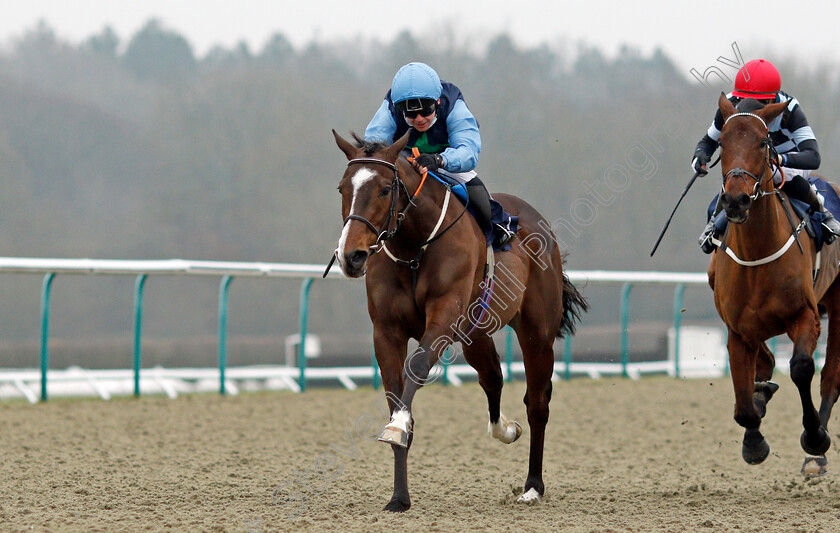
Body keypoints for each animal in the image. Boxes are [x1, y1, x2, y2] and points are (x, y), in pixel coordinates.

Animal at [332, 130, 588, 512]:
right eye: (342, 189)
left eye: (384, 189)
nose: (351, 256)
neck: (414, 248)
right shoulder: (387, 332)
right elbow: (396, 393)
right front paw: (399, 497)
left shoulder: (441, 320)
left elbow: (416, 367)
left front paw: (397, 426)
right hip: (476, 334)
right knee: (492, 378)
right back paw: (505, 430)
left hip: (536, 333)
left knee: (537, 403)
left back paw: (532, 486)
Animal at [708, 91, 840, 474]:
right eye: (722, 142)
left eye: (763, 142)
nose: (735, 200)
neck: (758, 253)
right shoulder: (738, 329)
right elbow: (743, 400)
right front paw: (753, 438)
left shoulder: (804, 315)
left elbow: (801, 367)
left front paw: (814, 436)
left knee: (831, 375)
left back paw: (816, 456)